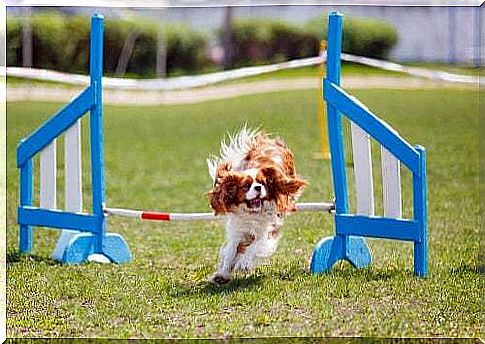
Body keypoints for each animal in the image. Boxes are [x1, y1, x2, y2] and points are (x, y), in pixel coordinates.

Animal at [205, 127, 304, 284]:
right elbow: (231, 251)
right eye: (246, 185)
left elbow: (256, 245)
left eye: (262, 183)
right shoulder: (238, 229)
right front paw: (223, 273)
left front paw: (243, 263)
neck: (252, 212)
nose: (258, 187)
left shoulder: (269, 229)